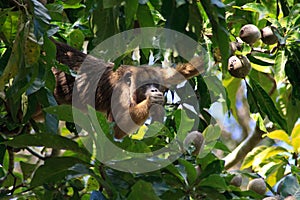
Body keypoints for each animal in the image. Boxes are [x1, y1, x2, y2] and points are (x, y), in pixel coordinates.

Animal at [52, 39, 206, 139]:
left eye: (155, 84)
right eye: (145, 84)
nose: (154, 90)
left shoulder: (161, 75)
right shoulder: (121, 92)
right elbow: (116, 129)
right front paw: (150, 101)